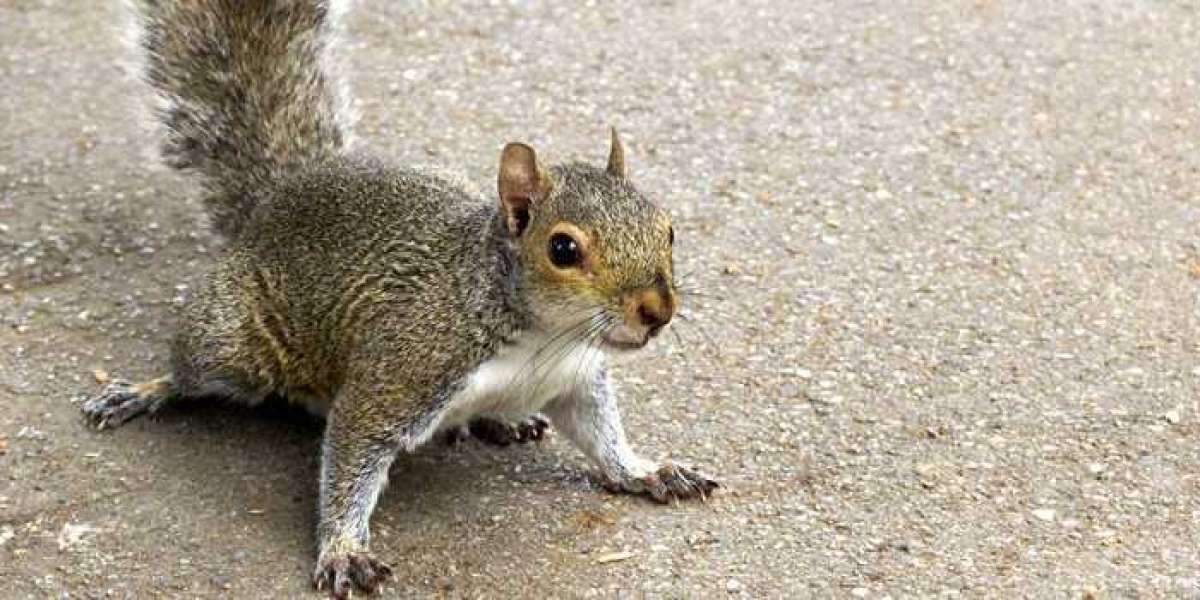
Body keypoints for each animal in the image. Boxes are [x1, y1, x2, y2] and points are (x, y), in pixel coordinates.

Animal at [81, 0, 717, 597]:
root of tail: (278, 197)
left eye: (667, 228)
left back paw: (500, 421)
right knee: (195, 371)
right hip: (232, 340)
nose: (657, 311)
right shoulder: (402, 371)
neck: (539, 336)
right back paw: (143, 391)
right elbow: (351, 454)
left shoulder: (576, 378)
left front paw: (645, 470)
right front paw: (342, 549)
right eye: (562, 248)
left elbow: (602, 436)